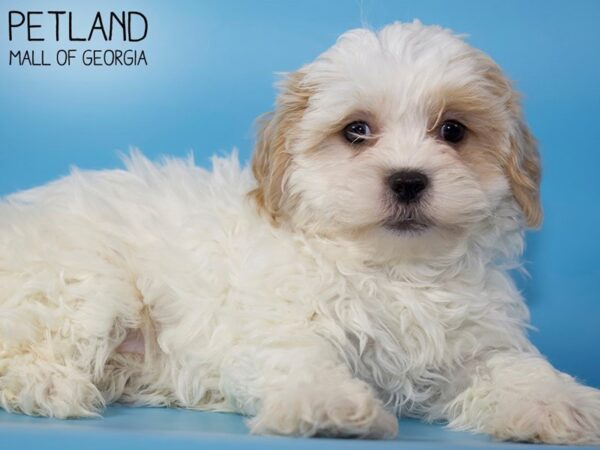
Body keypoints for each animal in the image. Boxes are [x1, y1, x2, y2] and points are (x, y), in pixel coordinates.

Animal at [1, 21, 600, 442]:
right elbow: (300, 356)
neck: (395, 268)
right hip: (88, 286)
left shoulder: (475, 342)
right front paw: (329, 405)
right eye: (356, 131)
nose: (408, 179)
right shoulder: (280, 321)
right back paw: (51, 385)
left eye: (453, 130)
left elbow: (513, 368)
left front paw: (556, 404)